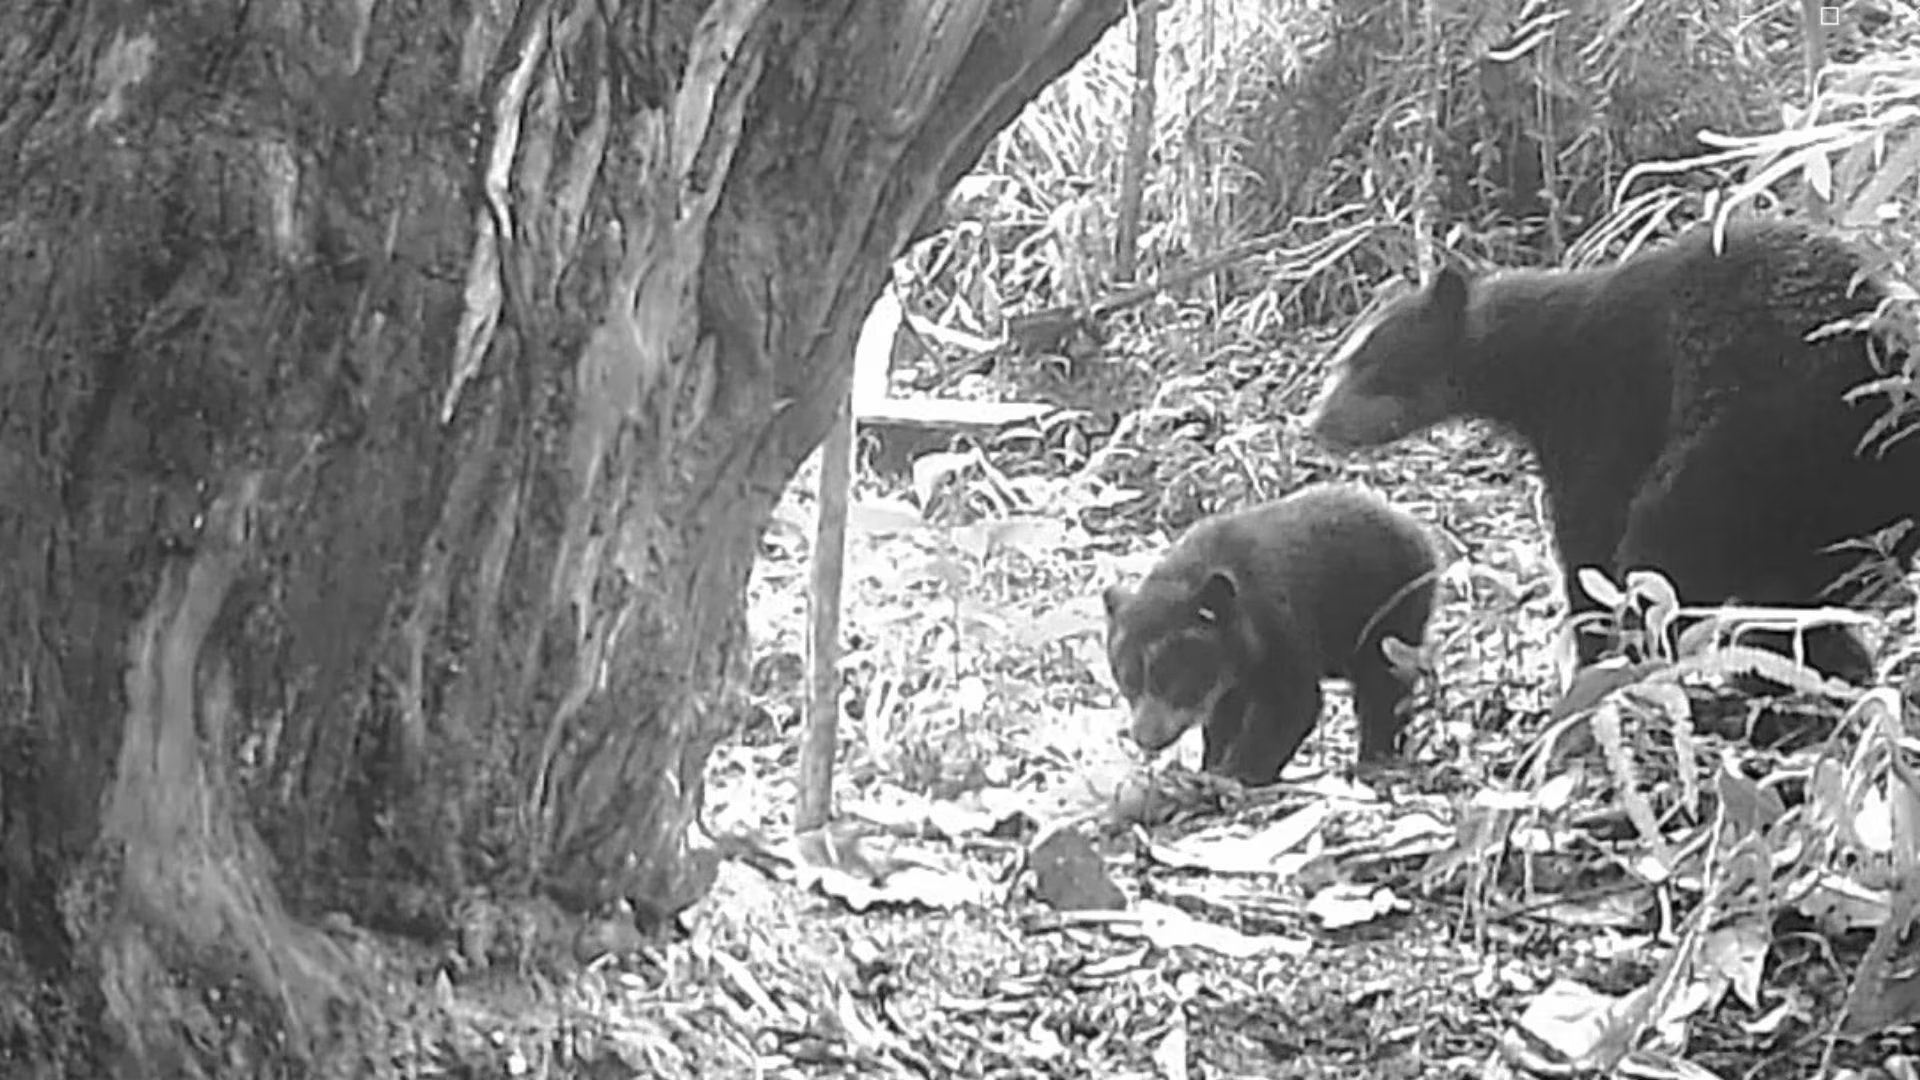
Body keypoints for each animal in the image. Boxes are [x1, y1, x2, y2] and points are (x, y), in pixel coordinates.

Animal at [1103, 484, 1438, 784]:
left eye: (1175, 679)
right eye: (1127, 680)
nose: (1146, 737)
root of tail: (1421, 533)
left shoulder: (1280, 626)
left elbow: (1291, 705)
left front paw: (1235, 772)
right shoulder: (1233, 673)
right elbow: (1225, 715)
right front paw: (1211, 763)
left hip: (1391, 607)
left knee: (1382, 684)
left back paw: (1374, 757)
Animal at [1306, 219, 1920, 681]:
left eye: (1366, 362)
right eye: (1341, 359)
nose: (1314, 420)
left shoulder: (1599, 407)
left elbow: (1591, 539)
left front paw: (1592, 652)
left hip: (1750, 430)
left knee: (1670, 542)